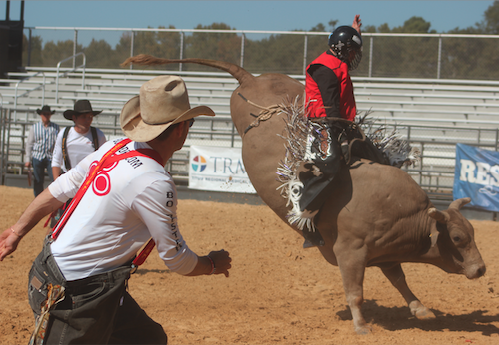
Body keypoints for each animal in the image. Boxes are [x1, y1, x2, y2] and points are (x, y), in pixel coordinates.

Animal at [123, 55, 486, 334]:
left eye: (471, 232)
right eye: (457, 237)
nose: (481, 269)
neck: (408, 216)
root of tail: (249, 80)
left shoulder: (386, 252)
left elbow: (399, 280)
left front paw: (420, 309)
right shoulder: (350, 251)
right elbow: (356, 292)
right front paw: (361, 326)